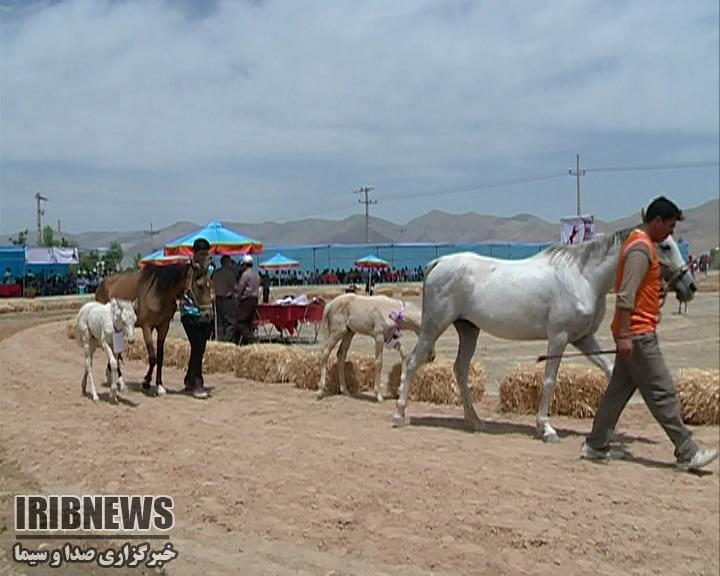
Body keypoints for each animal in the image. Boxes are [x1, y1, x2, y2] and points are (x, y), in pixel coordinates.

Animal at [96, 262, 214, 394]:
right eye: (199, 285)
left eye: (210, 284)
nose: (208, 315)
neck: (158, 293)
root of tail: (101, 284)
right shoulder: (147, 327)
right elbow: (153, 357)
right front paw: (146, 382)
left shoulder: (163, 327)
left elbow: (160, 357)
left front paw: (159, 385)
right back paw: (121, 382)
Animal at [390, 230, 696, 440]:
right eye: (665, 245)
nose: (690, 286)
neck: (583, 277)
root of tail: (438, 262)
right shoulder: (558, 338)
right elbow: (549, 380)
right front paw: (546, 428)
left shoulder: (583, 339)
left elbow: (609, 370)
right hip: (434, 325)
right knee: (413, 362)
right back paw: (399, 414)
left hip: (468, 329)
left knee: (461, 370)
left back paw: (475, 421)